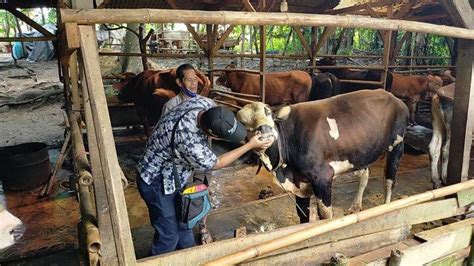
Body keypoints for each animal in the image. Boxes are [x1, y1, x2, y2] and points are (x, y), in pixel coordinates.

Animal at [237, 89, 408, 222]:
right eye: (243, 122)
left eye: (268, 112)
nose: (264, 131)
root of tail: (393, 97)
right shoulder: (301, 182)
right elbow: (303, 215)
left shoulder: (322, 177)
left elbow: (325, 215)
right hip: (362, 151)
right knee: (365, 175)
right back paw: (355, 207)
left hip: (397, 145)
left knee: (389, 180)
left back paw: (386, 207)